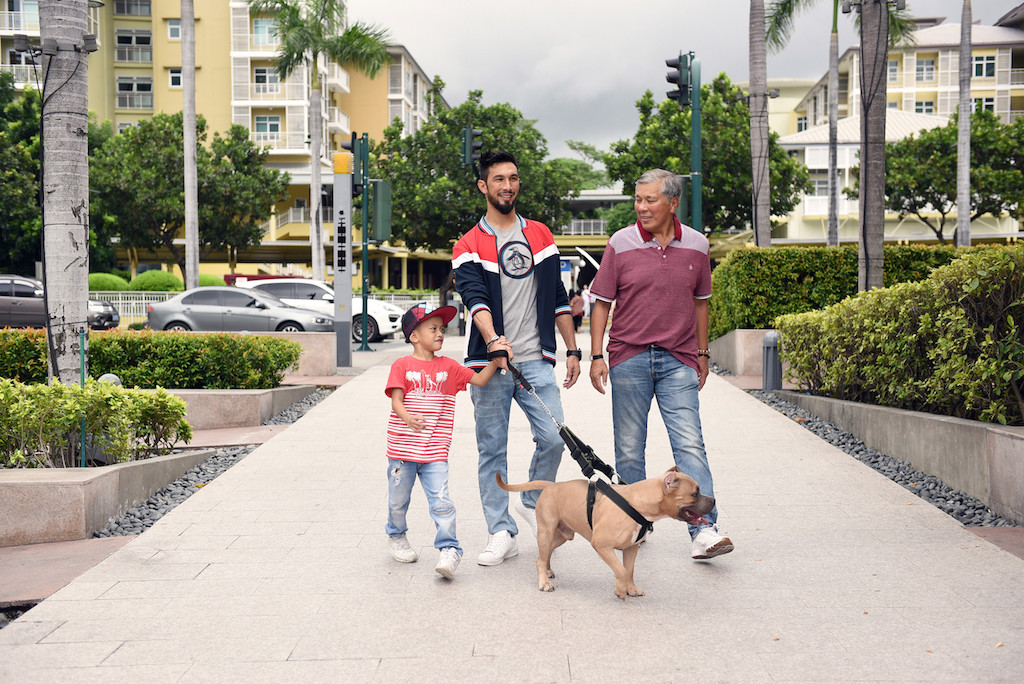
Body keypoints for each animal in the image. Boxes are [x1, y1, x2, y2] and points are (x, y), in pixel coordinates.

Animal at [495, 464, 712, 597]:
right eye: (695, 493)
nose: (714, 500)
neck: (637, 505)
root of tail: (552, 485)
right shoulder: (601, 545)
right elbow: (621, 570)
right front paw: (620, 590)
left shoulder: (631, 548)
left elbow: (629, 570)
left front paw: (630, 588)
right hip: (547, 532)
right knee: (540, 558)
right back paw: (544, 582)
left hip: (562, 535)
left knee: (544, 554)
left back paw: (547, 571)